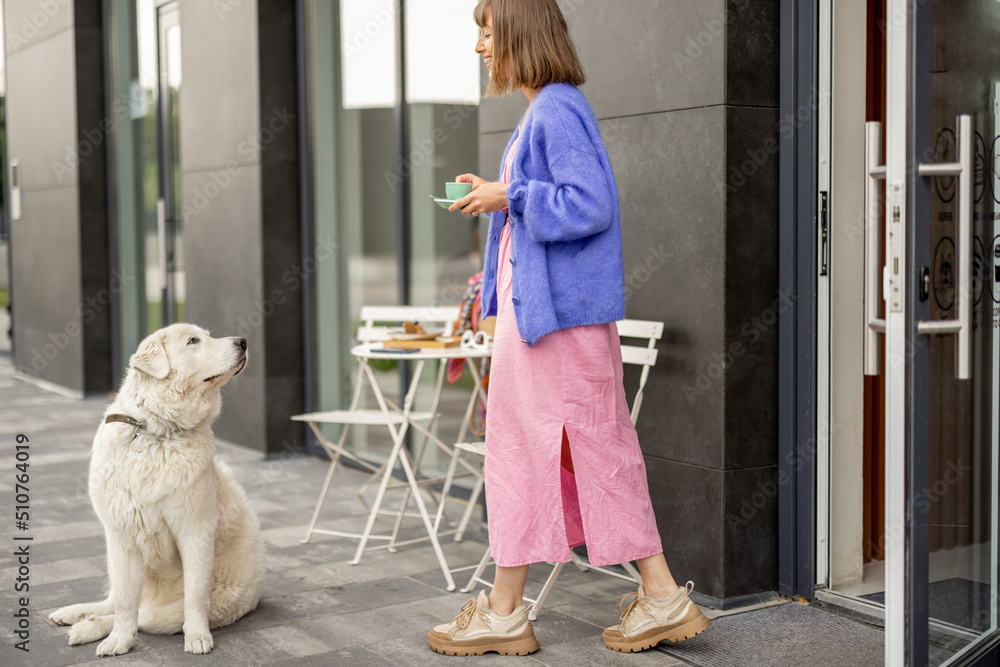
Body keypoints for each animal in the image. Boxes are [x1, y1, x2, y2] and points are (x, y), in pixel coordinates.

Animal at [48, 324, 264, 656]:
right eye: (193, 341)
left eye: (207, 336)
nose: (242, 342)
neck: (154, 431)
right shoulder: (121, 533)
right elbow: (125, 602)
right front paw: (120, 640)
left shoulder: (195, 530)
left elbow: (194, 595)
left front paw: (197, 637)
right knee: (117, 601)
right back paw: (75, 614)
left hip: (178, 610)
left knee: (146, 614)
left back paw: (87, 626)